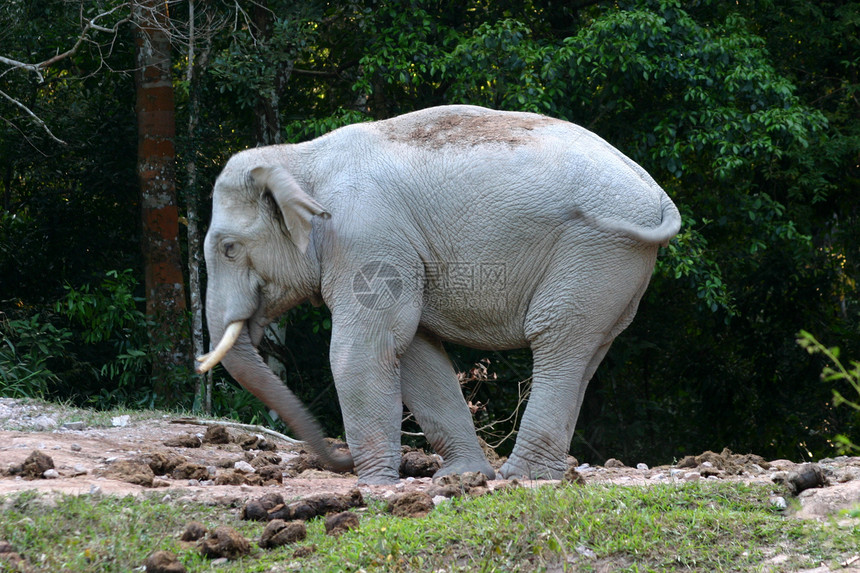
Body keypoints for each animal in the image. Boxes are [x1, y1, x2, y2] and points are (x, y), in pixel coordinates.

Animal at [198, 104, 680, 482]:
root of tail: (656, 190)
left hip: (595, 250)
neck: (300, 157)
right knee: (586, 349)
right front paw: (460, 477)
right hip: (616, 266)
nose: (339, 458)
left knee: (556, 338)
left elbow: (366, 349)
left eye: (229, 248)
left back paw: (520, 476)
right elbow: (415, 352)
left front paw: (374, 485)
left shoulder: (367, 240)